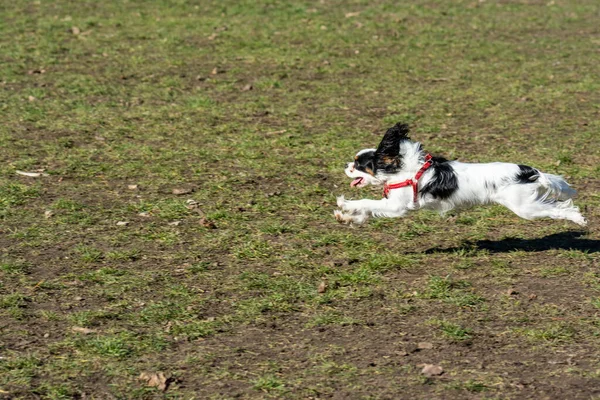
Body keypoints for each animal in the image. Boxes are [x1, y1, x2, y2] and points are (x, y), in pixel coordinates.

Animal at [332, 122, 584, 227]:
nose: (345, 164)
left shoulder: (397, 207)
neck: (403, 169)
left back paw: (577, 219)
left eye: (358, 164)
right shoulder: (391, 206)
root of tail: (528, 171)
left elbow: (365, 202)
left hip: (525, 208)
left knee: (559, 208)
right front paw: (345, 217)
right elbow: (367, 212)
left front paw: (345, 204)